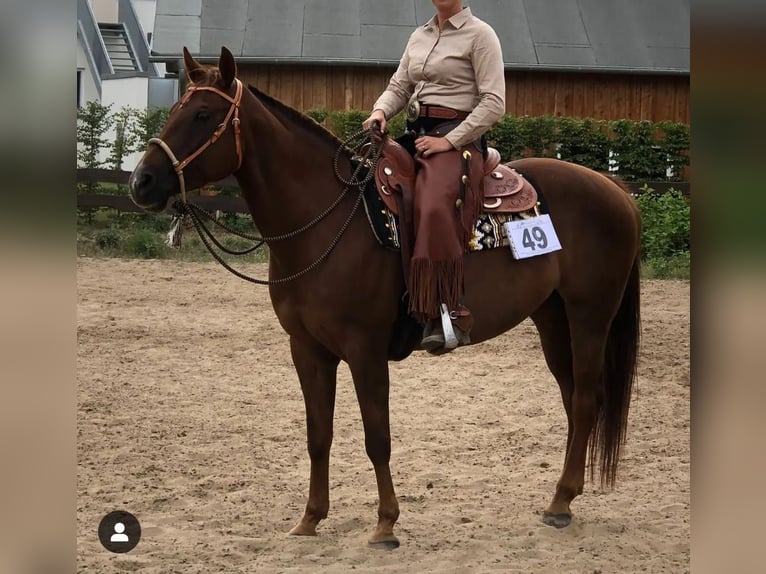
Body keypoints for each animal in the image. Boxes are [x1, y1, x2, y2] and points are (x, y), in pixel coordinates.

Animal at [130, 48, 640, 548]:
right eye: (175, 110)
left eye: (202, 114)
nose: (141, 182)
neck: (324, 221)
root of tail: (614, 188)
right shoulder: (306, 350)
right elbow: (318, 435)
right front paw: (310, 519)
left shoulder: (365, 351)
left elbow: (377, 437)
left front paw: (385, 525)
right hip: (552, 318)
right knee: (572, 398)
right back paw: (563, 497)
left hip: (590, 316)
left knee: (587, 398)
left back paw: (560, 504)